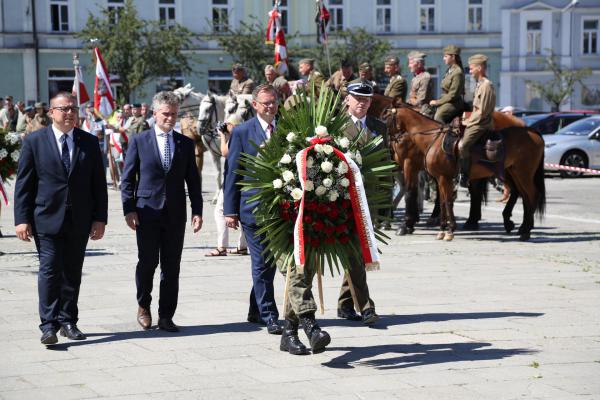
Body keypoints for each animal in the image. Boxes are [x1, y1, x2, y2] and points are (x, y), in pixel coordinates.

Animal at [386, 104, 548, 241]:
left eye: (386, 118)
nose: (389, 143)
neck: (433, 139)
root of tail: (533, 131)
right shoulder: (439, 178)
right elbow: (443, 201)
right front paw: (442, 229)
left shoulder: (435, 175)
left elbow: (445, 200)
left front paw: (449, 230)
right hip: (515, 172)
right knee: (525, 196)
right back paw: (519, 226)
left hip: (523, 173)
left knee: (532, 195)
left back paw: (525, 231)